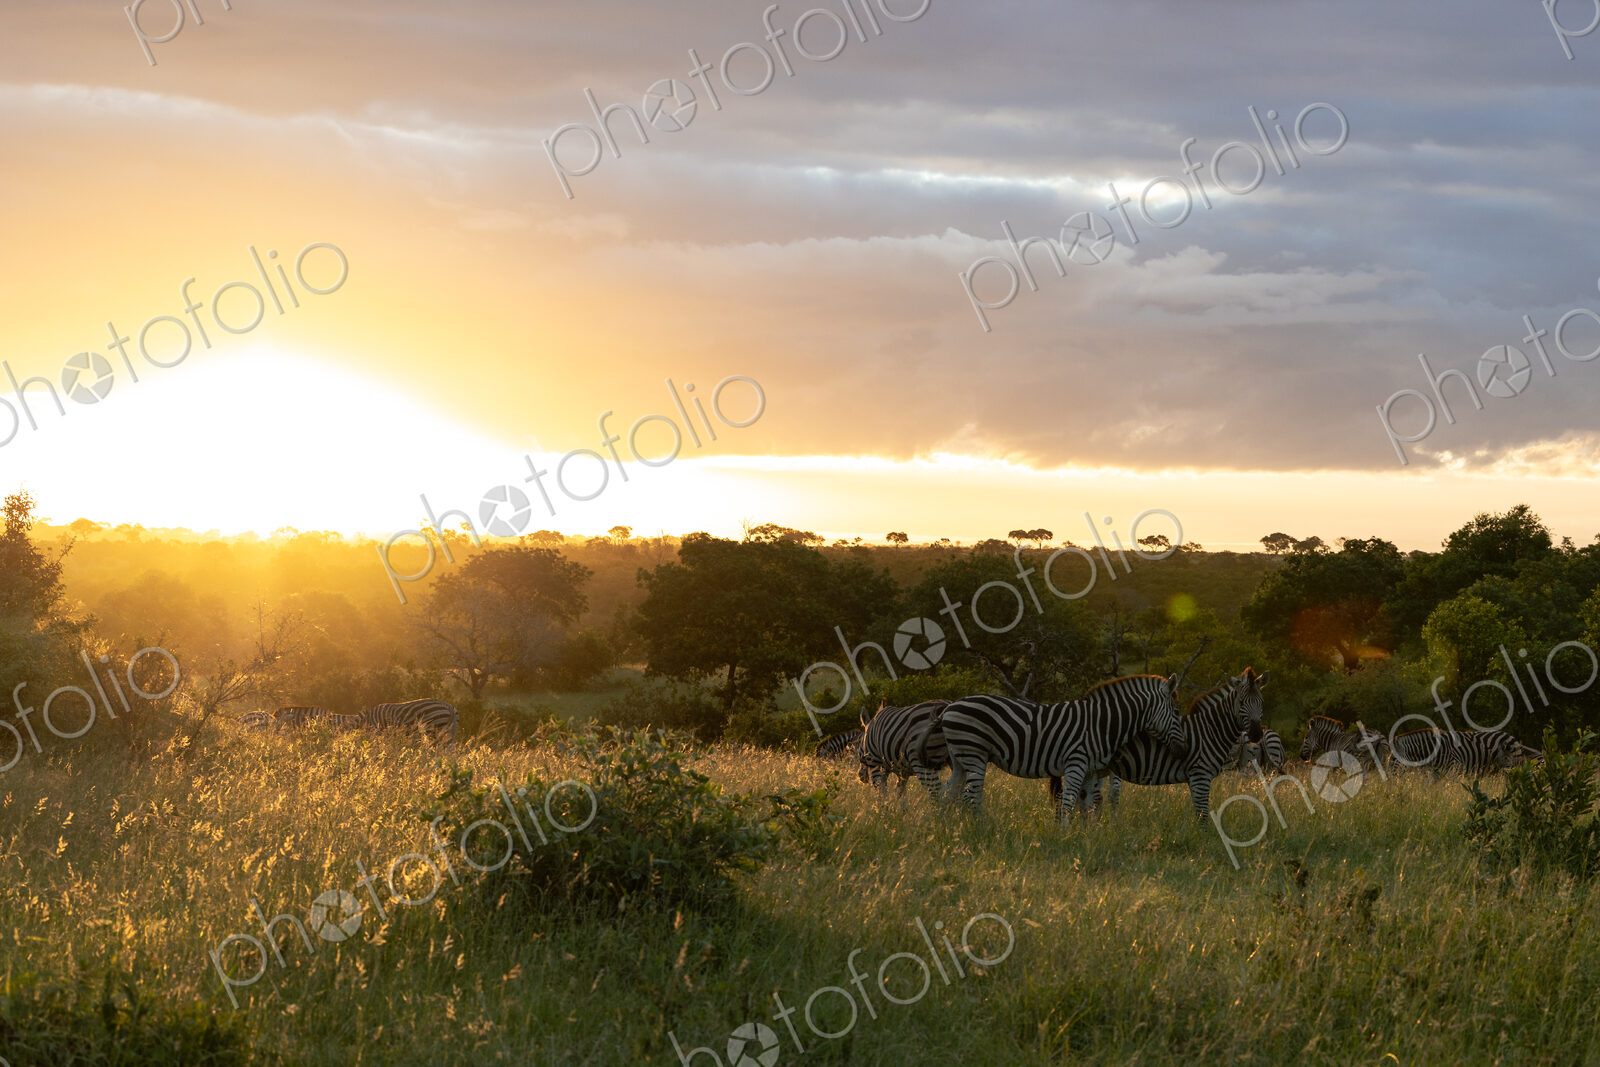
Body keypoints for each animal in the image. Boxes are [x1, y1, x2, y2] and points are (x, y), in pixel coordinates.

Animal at [924, 673, 1186, 825]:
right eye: (1176, 712)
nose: (1183, 748)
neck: (1102, 723)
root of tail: (950, 707)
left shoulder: (1090, 769)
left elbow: (1086, 803)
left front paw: (1085, 835)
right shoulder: (1076, 762)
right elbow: (1069, 801)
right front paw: (1064, 835)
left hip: (960, 758)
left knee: (947, 794)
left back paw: (946, 830)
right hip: (974, 754)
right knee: (970, 797)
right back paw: (981, 829)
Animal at [1066, 668, 1271, 823]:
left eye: (1261, 702)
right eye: (1241, 702)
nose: (1256, 734)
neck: (1209, 729)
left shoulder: (1195, 777)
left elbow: (1199, 812)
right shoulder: (1200, 775)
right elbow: (1203, 815)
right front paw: (1202, 842)